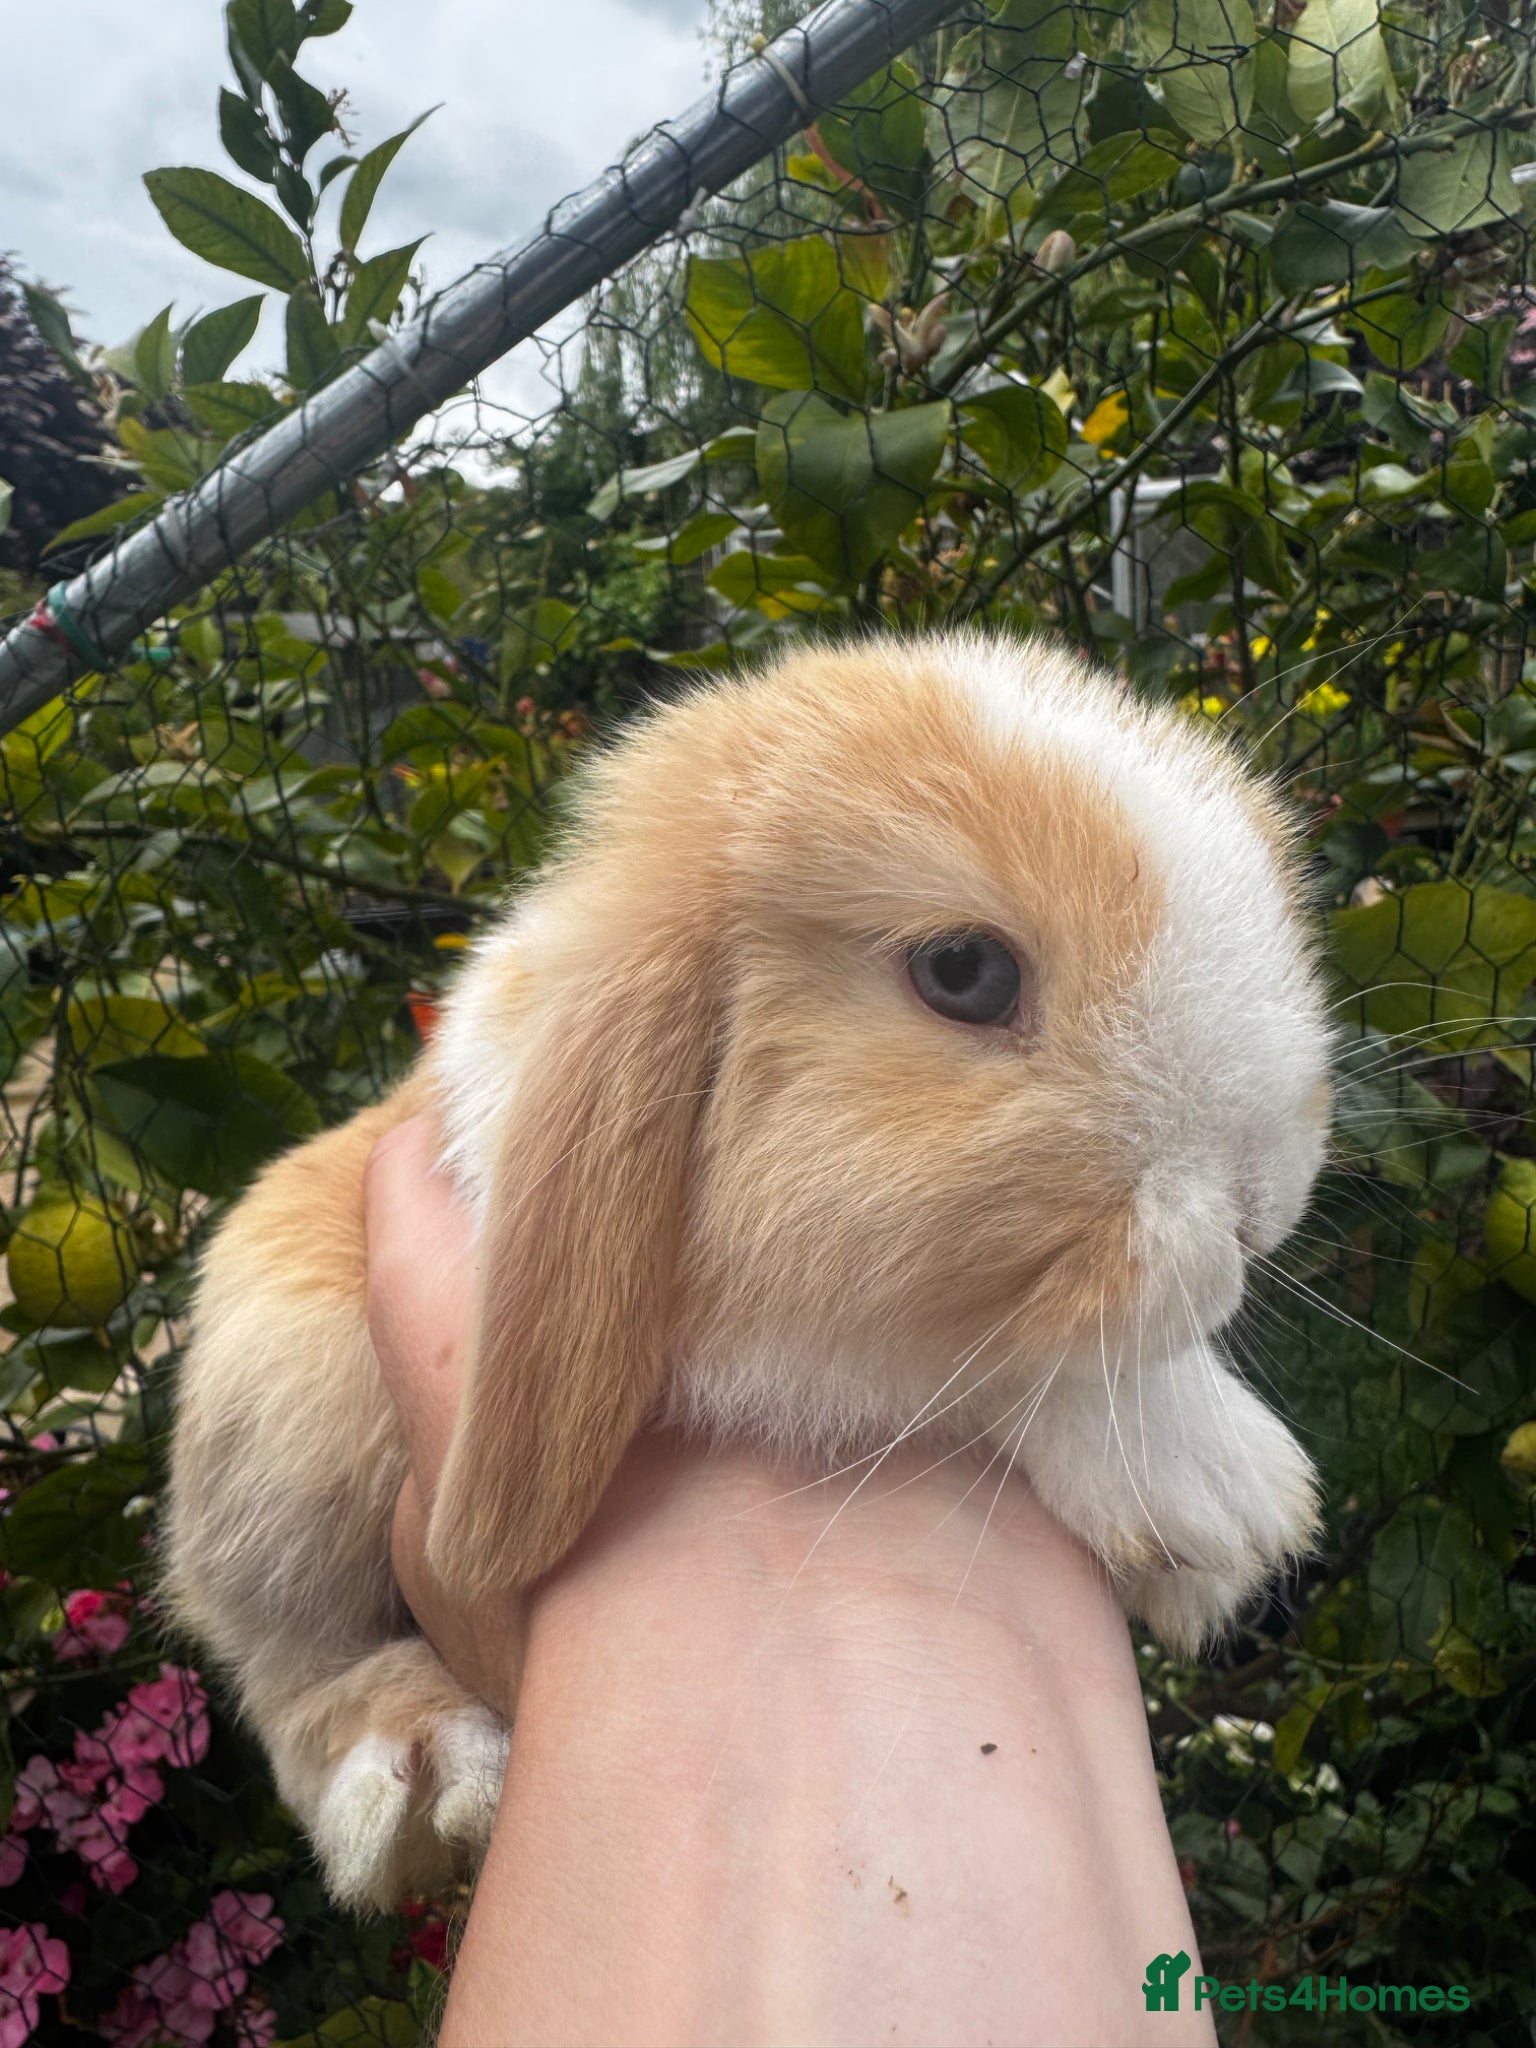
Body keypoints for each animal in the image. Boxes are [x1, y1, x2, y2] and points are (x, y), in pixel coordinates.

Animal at [162, 628, 1331, 1909]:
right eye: (964, 971)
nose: (1263, 1199)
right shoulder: (782, 1347)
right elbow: (979, 1363)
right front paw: (1220, 1489)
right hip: (291, 1424)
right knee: (289, 1677)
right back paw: (420, 1775)